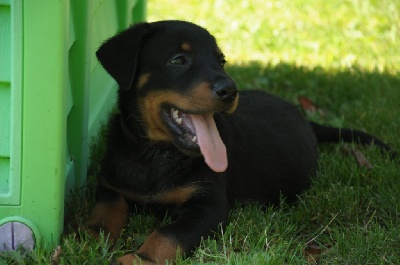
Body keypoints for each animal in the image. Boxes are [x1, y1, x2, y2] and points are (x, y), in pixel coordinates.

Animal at [84, 20, 396, 262]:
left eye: (220, 61)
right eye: (178, 60)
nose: (230, 90)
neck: (154, 153)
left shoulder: (208, 207)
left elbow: (168, 235)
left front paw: (137, 259)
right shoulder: (111, 185)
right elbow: (105, 212)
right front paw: (87, 238)